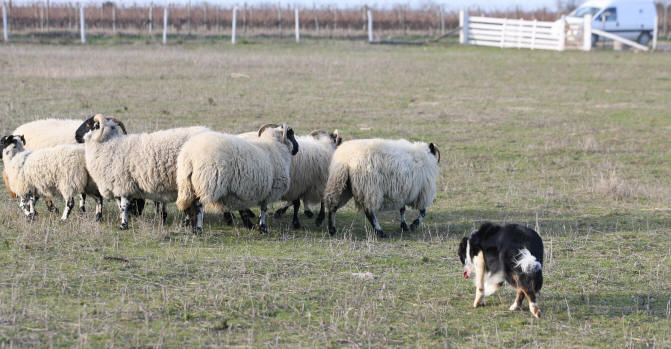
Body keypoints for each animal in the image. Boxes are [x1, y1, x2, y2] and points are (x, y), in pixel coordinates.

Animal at [75, 113, 210, 228]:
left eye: (88, 124)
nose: (75, 135)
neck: (110, 144)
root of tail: (207, 132)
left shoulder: (123, 182)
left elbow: (123, 205)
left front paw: (123, 225)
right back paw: (187, 223)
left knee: (198, 205)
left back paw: (195, 226)